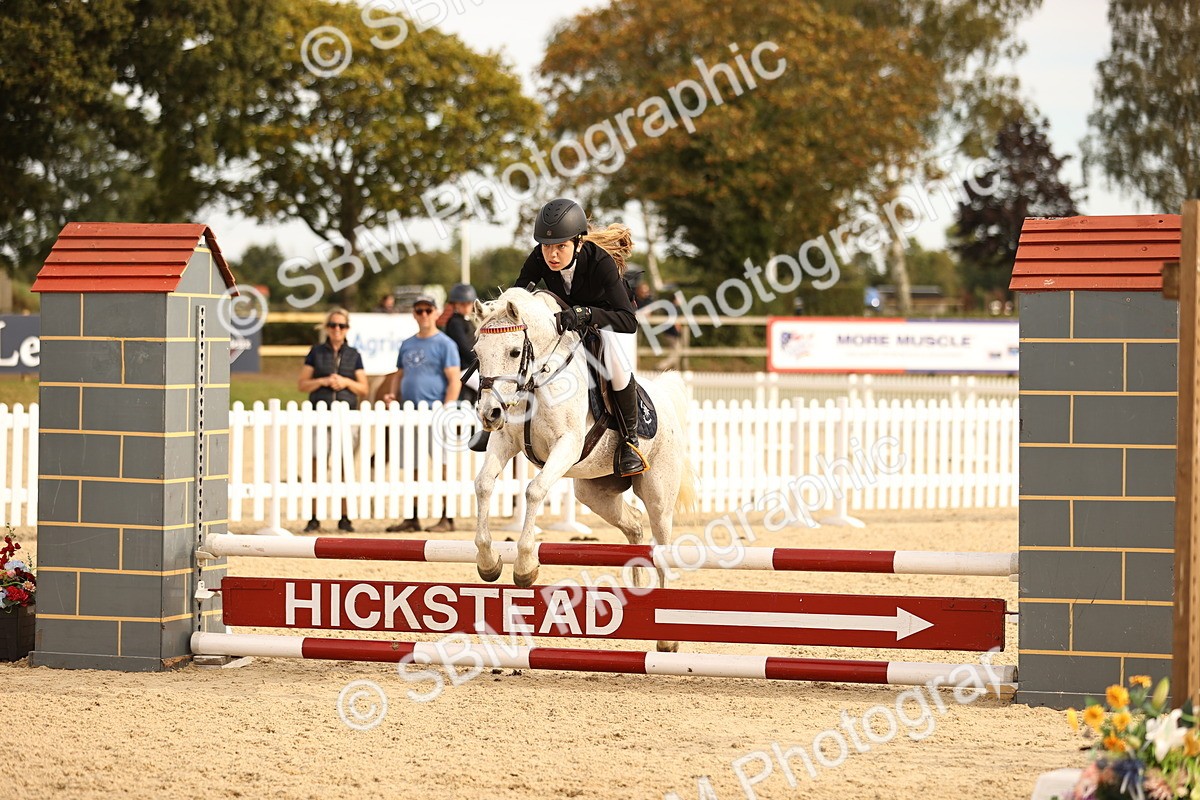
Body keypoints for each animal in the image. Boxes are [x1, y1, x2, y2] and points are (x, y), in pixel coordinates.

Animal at [471, 288, 696, 652]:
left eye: (514, 351)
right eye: (477, 353)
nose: (488, 413)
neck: (536, 380)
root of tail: (663, 396)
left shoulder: (566, 445)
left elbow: (534, 490)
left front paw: (525, 566)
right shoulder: (505, 441)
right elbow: (483, 485)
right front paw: (488, 562)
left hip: (659, 495)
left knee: (662, 545)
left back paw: (666, 638)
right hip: (594, 493)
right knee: (635, 526)